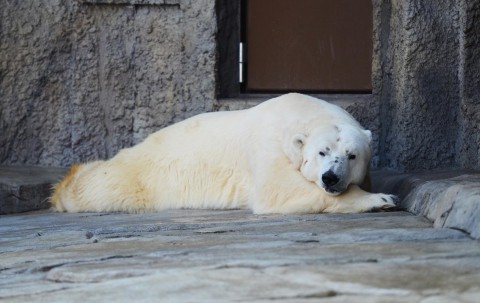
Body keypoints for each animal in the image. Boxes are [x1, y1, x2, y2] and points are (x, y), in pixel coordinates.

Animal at [51, 94, 398, 215]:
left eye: (352, 156)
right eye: (322, 152)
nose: (331, 177)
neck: (301, 115)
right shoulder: (269, 145)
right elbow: (277, 191)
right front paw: (381, 199)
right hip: (141, 175)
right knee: (102, 185)